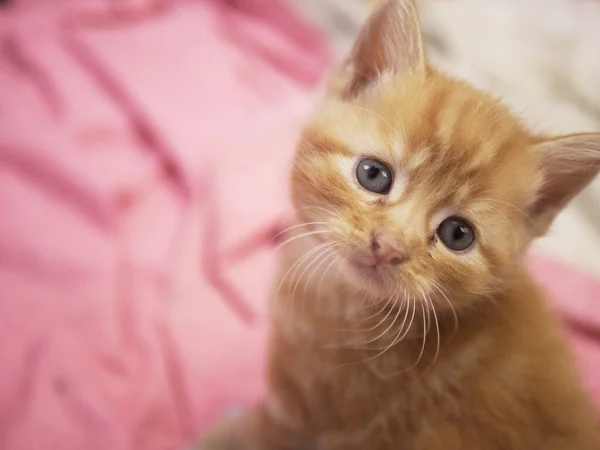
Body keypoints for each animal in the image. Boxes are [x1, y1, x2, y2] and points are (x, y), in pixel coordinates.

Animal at [198, 0, 600, 450]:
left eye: (457, 234)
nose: (388, 246)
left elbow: (249, 434)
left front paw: (219, 431)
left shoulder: (296, 416)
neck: (345, 304)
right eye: (374, 175)